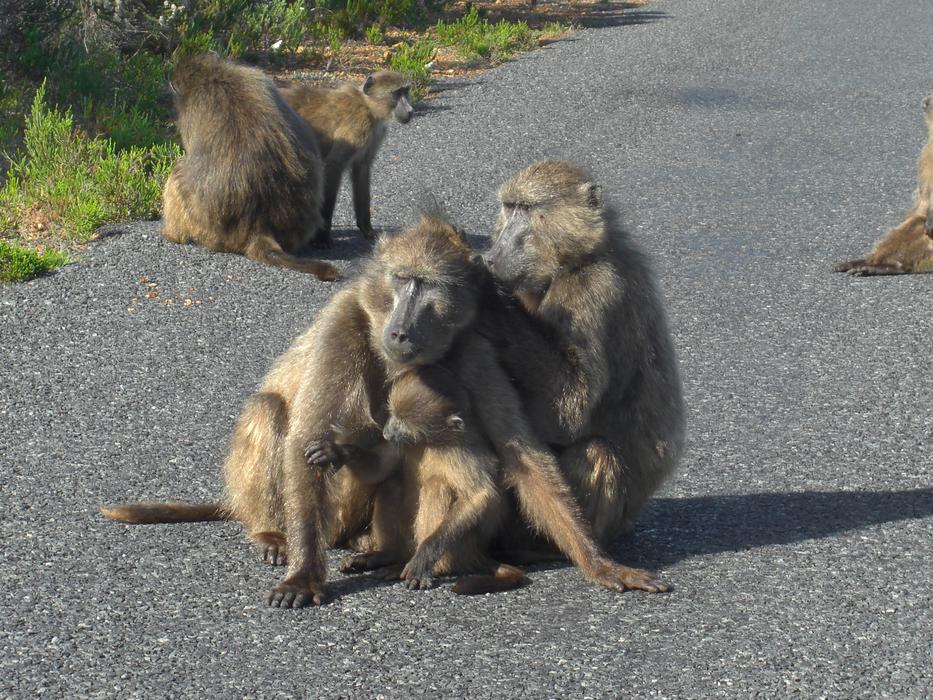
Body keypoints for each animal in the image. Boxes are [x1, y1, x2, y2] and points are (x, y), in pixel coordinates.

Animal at [103, 212, 668, 608]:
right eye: (402, 280)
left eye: (430, 287)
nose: (400, 331)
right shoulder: (343, 320)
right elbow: (305, 438)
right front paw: (304, 575)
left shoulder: (473, 347)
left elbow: (522, 457)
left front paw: (600, 563)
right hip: (325, 510)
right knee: (270, 411)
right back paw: (270, 532)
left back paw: (380, 548)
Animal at [278, 71, 413, 247]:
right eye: (396, 93)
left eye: (406, 91)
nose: (411, 110)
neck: (368, 107)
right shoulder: (357, 127)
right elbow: (333, 166)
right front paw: (322, 237)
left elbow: (362, 169)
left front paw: (367, 229)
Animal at [481, 160, 686, 552]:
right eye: (508, 208)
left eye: (526, 209)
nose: (492, 255)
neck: (579, 259)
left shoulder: (591, 293)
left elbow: (568, 413)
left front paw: (488, 294)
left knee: (596, 451)